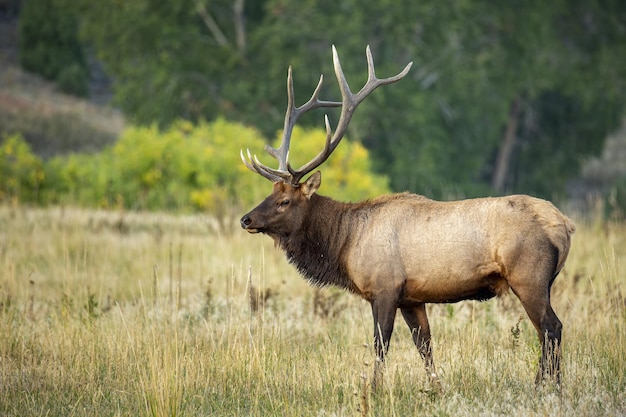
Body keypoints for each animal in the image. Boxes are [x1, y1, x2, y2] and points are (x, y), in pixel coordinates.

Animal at [239, 45, 576, 386]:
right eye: (269, 193)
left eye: (284, 201)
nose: (246, 219)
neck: (345, 243)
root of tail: (565, 226)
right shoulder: (412, 298)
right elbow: (424, 346)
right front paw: (435, 388)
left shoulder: (384, 288)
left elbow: (380, 345)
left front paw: (373, 389)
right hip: (542, 282)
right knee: (547, 331)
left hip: (528, 277)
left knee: (551, 328)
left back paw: (547, 387)